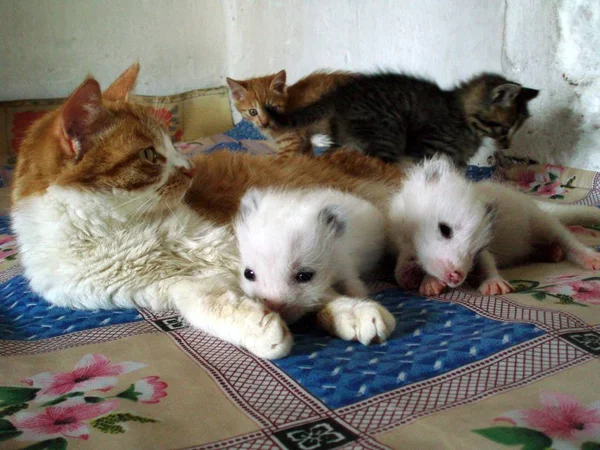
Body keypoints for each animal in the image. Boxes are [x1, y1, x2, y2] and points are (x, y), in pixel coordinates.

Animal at [10, 63, 404, 358]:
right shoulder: (172, 285)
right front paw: (258, 326)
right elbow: (208, 304)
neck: (122, 231)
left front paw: (349, 310)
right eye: (150, 154)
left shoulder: (235, 244)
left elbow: (312, 284)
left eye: (173, 144)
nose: (189, 169)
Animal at [268, 72, 540, 165]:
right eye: (504, 129)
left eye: (515, 129)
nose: (507, 146)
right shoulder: (428, 149)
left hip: (349, 137)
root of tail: (340, 94)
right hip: (388, 133)